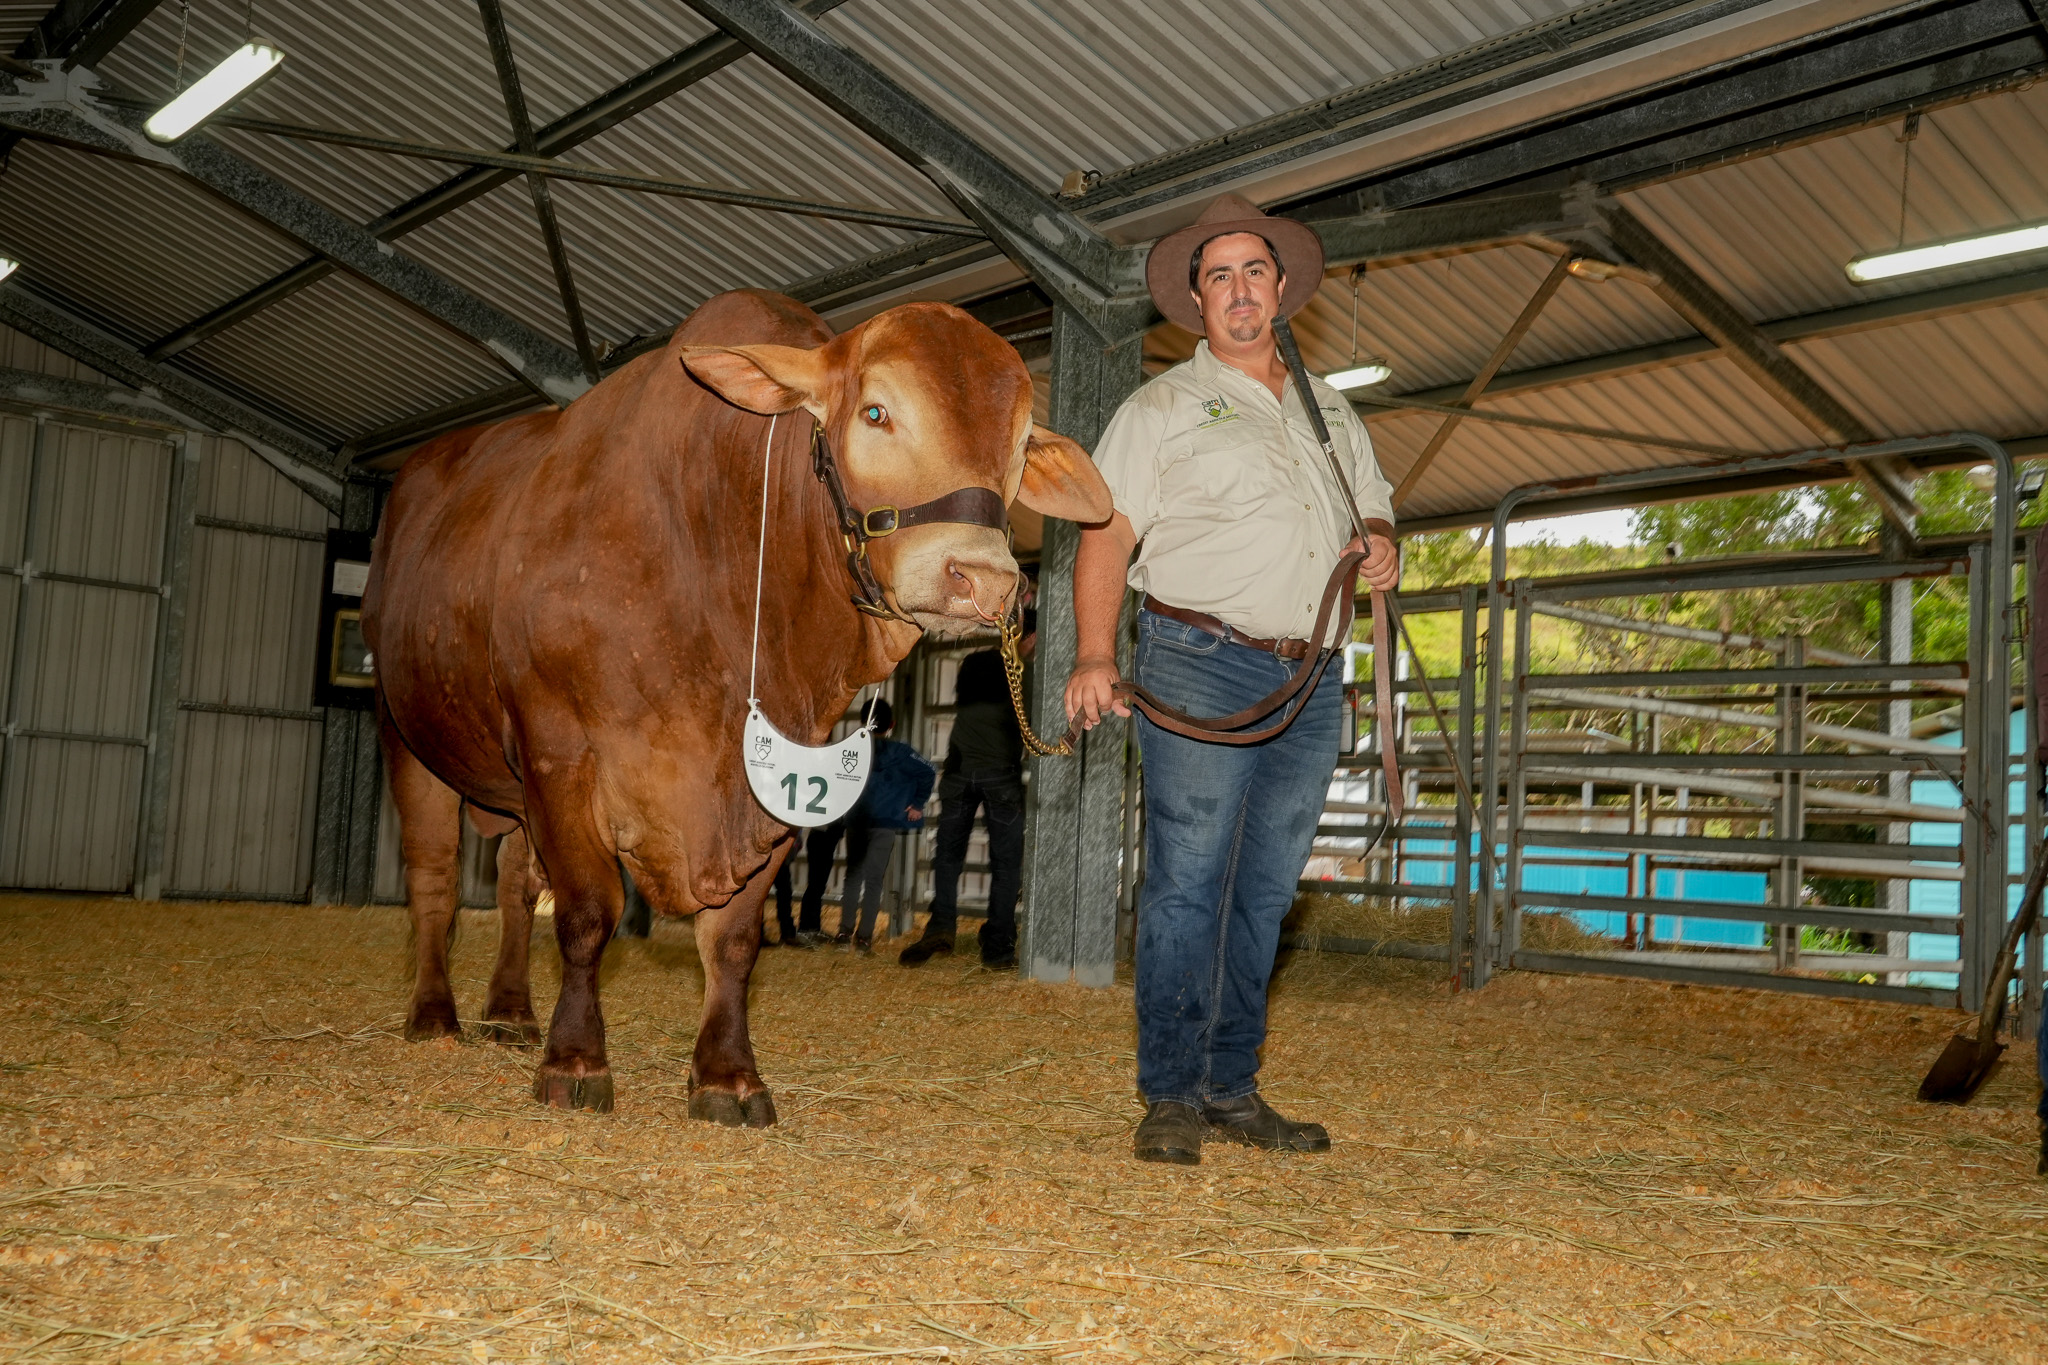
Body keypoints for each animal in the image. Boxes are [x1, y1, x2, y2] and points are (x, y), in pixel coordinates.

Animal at [361, 289, 1110, 1123]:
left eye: (1019, 445)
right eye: (876, 412)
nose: (983, 577)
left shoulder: (773, 786)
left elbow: (734, 939)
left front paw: (726, 1073)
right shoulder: (561, 753)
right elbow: (588, 912)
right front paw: (577, 1059)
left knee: (517, 883)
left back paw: (512, 1011)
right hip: (408, 730)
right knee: (435, 876)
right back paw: (435, 1013)